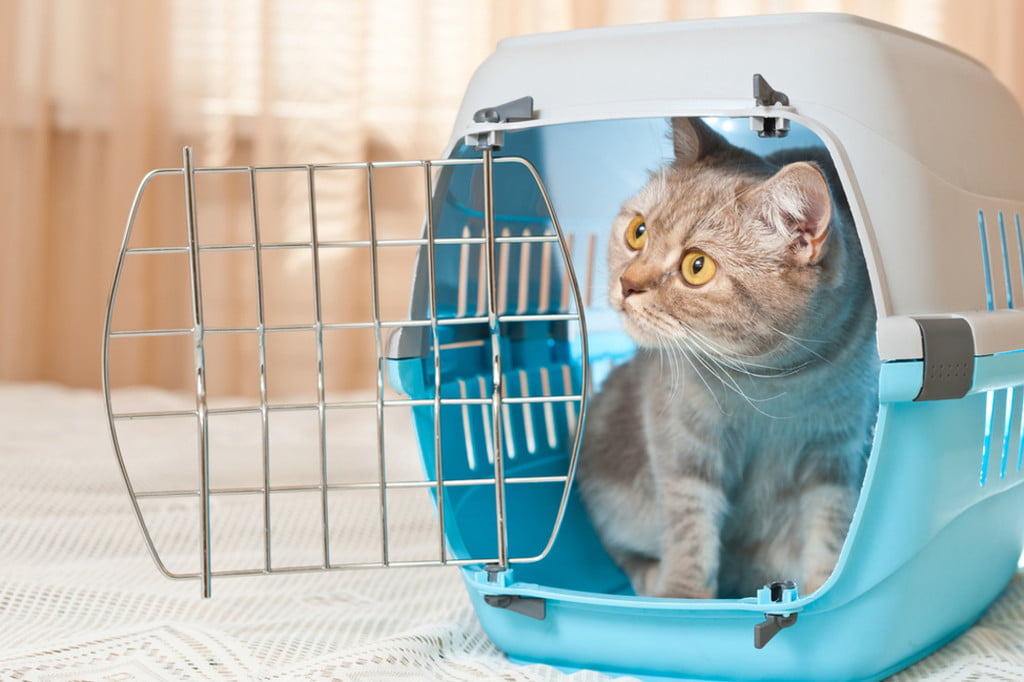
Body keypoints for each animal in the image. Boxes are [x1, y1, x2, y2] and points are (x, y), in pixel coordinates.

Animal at [577, 119, 880, 598]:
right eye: (638, 232)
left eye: (696, 266)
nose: (627, 284)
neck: (774, 382)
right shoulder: (683, 445)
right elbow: (688, 529)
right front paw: (682, 597)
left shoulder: (834, 451)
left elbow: (830, 525)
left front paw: (823, 587)